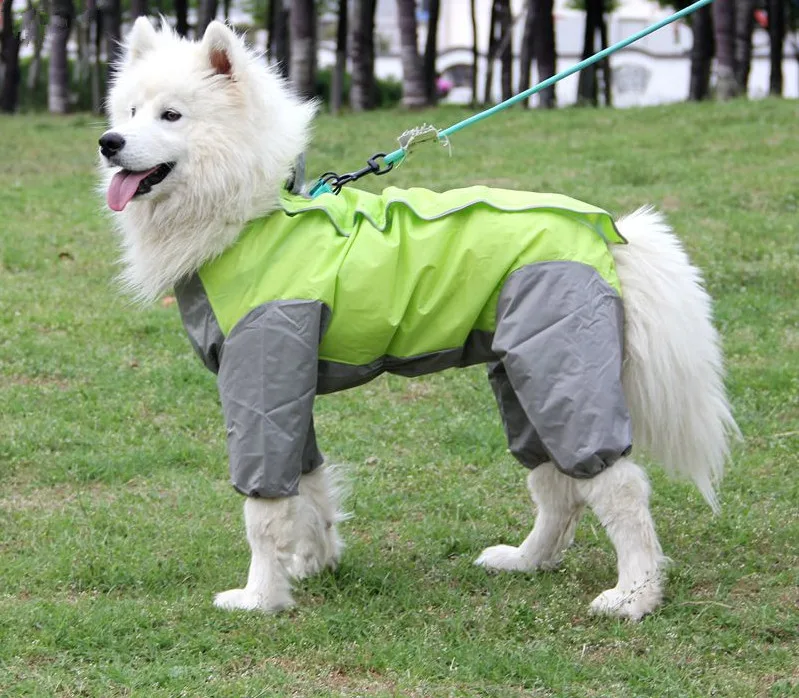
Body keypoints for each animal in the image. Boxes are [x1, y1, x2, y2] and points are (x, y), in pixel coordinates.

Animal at [101, 16, 744, 616]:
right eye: (129, 111)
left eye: (171, 116)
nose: (109, 141)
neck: (255, 210)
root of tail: (607, 236)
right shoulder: (285, 386)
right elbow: (310, 486)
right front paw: (315, 563)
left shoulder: (260, 375)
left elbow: (263, 510)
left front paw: (261, 597)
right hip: (525, 375)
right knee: (555, 484)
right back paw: (527, 560)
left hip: (563, 372)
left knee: (619, 487)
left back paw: (634, 595)